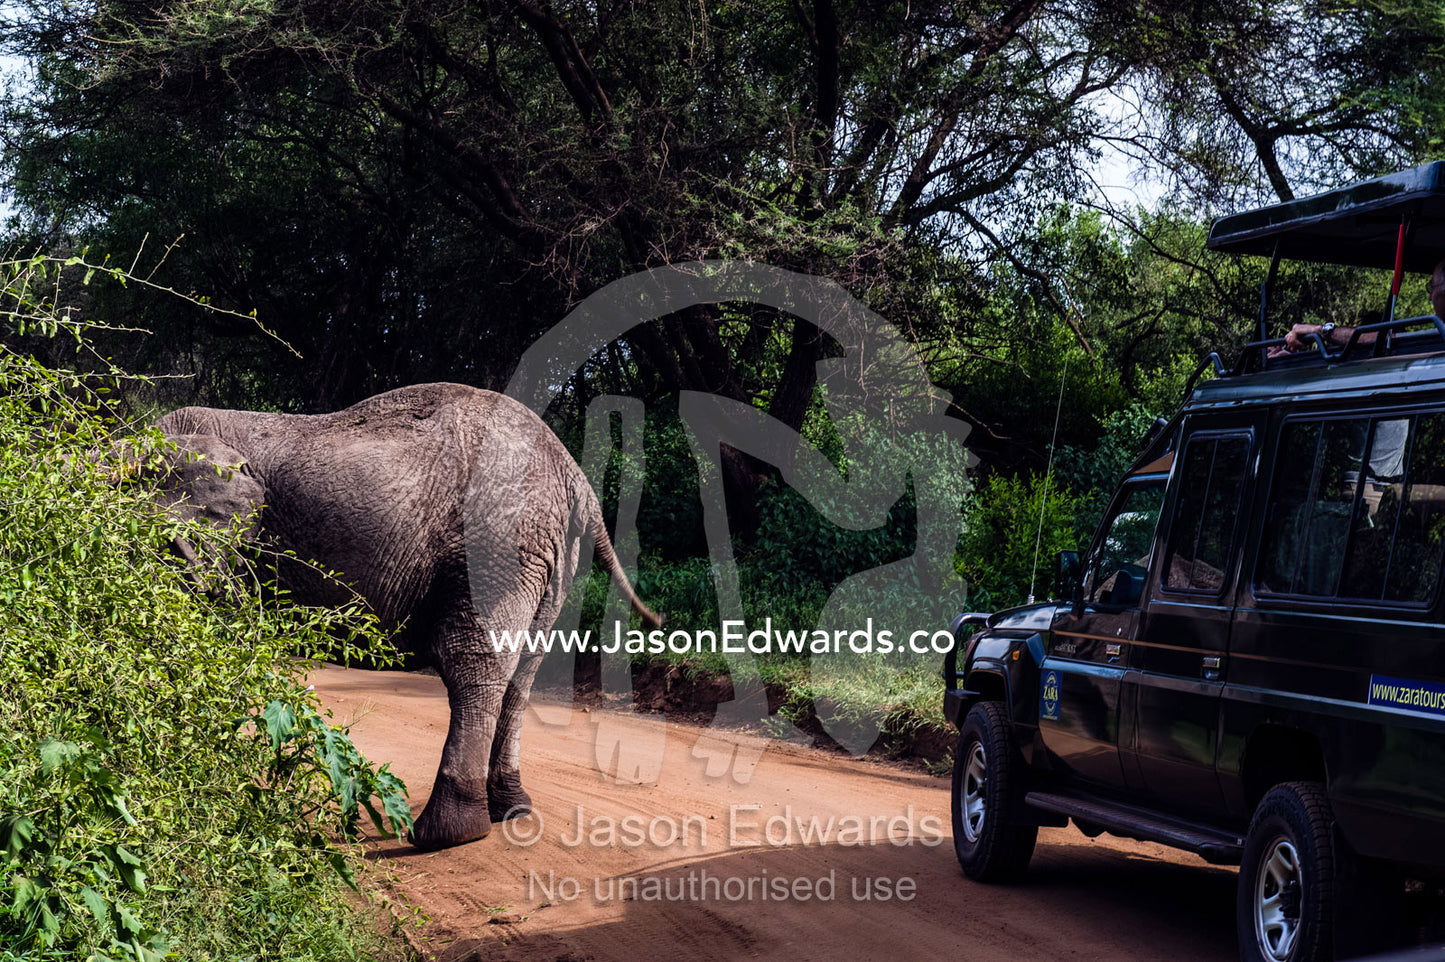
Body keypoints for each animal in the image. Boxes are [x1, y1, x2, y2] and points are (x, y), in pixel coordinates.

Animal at [149, 382, 660, 850]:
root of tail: (575, 477)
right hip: (550, 556)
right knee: (522, 672)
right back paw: (510, 811)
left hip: (494, 545)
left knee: (473, 666)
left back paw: (443, 835)